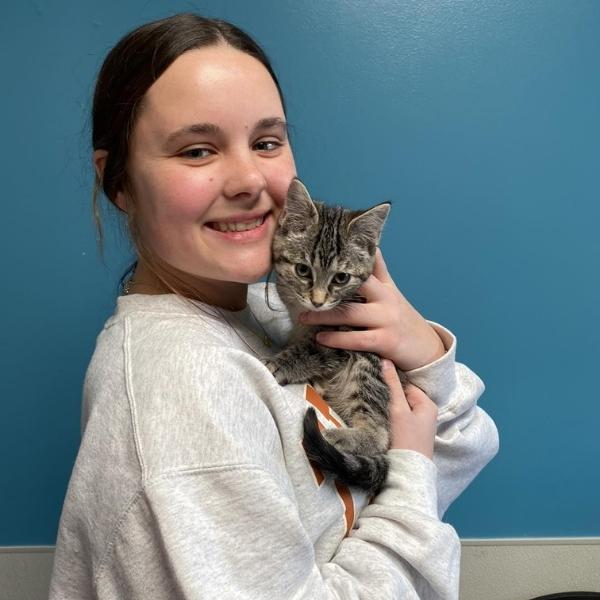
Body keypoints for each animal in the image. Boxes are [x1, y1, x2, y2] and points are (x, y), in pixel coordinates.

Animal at [264, 179, 400, 496]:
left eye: (341, 278)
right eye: (303, 270)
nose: (317, 301)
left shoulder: (351, 331)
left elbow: (314, 348)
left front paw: (282, 363)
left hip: (368, 365)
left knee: (380, 434)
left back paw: (338, 436)